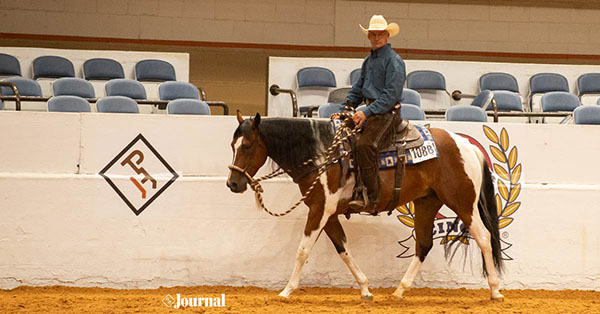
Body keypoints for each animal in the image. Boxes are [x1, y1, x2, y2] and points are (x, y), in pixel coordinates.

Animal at [227, 112, 504, 302]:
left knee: (483, 237)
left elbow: (303, 251)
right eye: (233, 146)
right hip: (427, 202)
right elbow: (343, 249)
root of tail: (468, 146)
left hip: (462, 203)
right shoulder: (329, 214)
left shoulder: (319, 210)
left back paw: (495, 290)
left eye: (247, 146)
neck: (322, 154)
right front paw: (365, 288)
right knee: (424, 244)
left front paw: (286, 291)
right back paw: (400, 290)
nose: (233, 183)